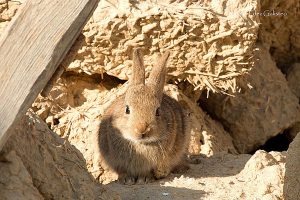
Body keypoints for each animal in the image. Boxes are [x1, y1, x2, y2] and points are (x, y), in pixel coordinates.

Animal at [98, 48, 190, 184]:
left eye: (157, 111)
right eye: (127, 109)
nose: (142, 129)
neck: (140, 143)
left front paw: (144, 178)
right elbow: (122, 171)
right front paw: (126, 179)